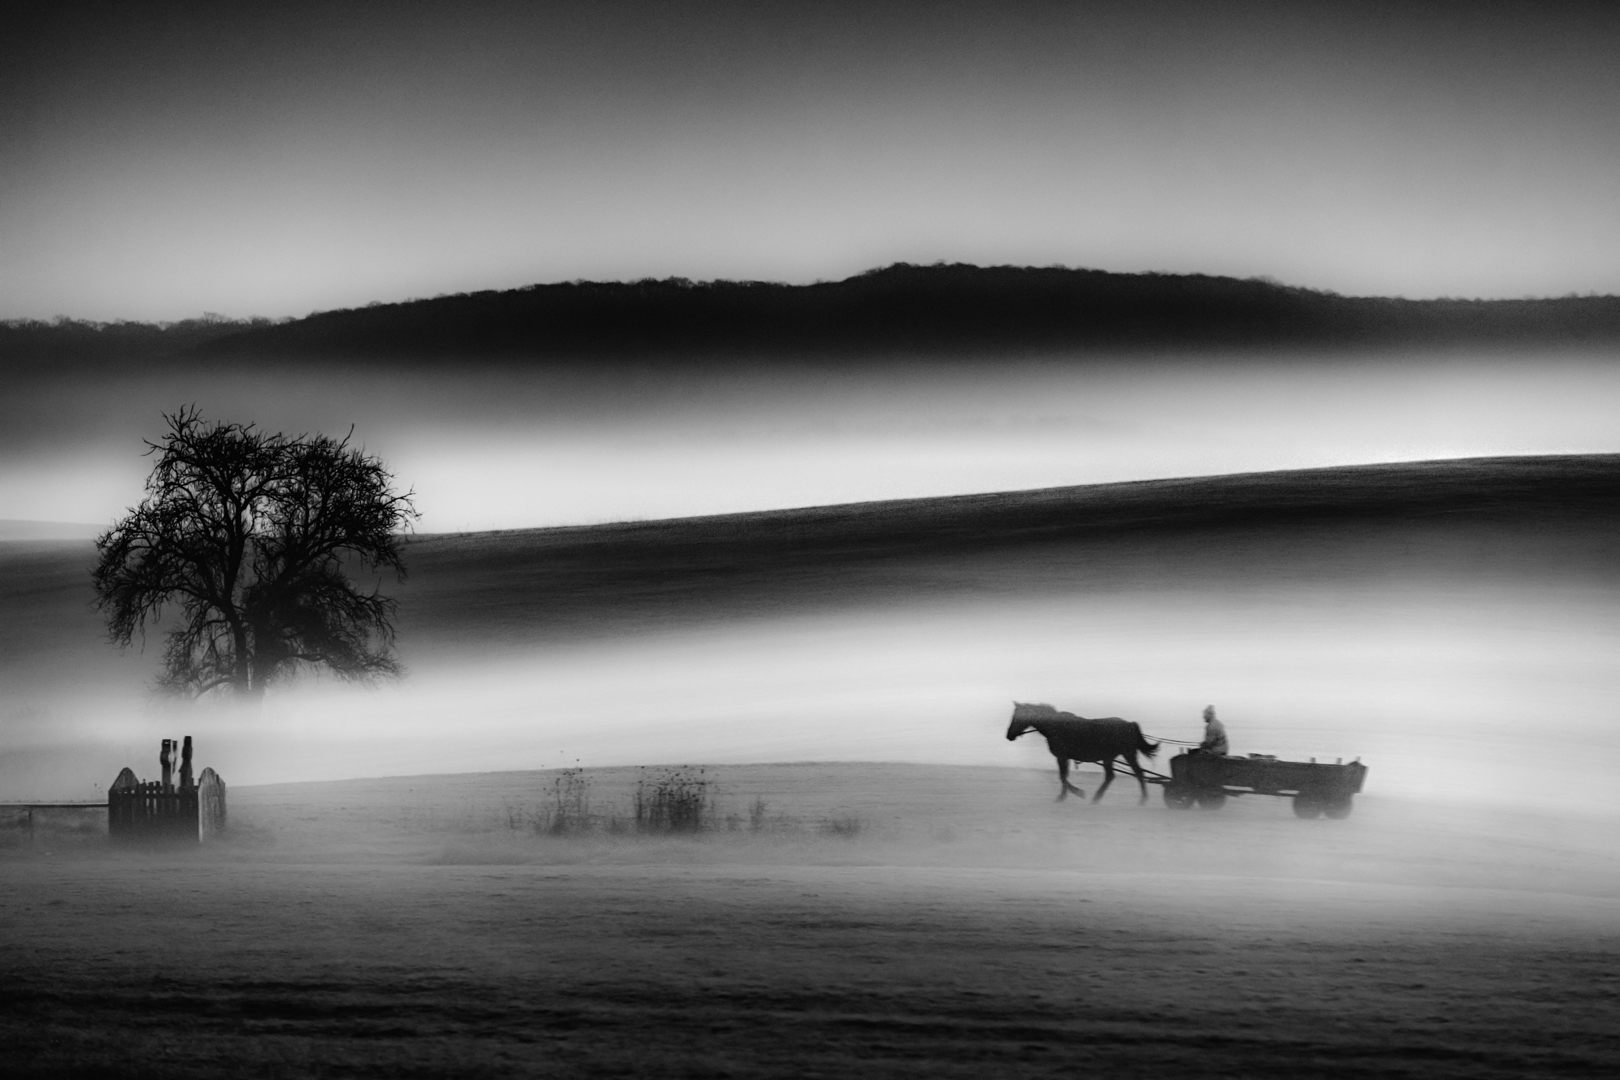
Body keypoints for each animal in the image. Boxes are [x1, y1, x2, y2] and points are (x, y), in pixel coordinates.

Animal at [1006, 702, 1160, 803]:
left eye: (1016, 717)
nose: (1008, 735)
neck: (1055, 726)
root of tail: (1129, 724)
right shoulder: (1065, 758)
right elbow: (1064, 776)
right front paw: (1069, 793)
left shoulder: (1061, 757)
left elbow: (1062, 776)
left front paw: (1071, 794)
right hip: (1109, 757)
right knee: (1111, 776)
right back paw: (1098, 797)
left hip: (1128, 754)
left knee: (1138, 773)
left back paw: (1142, 799)